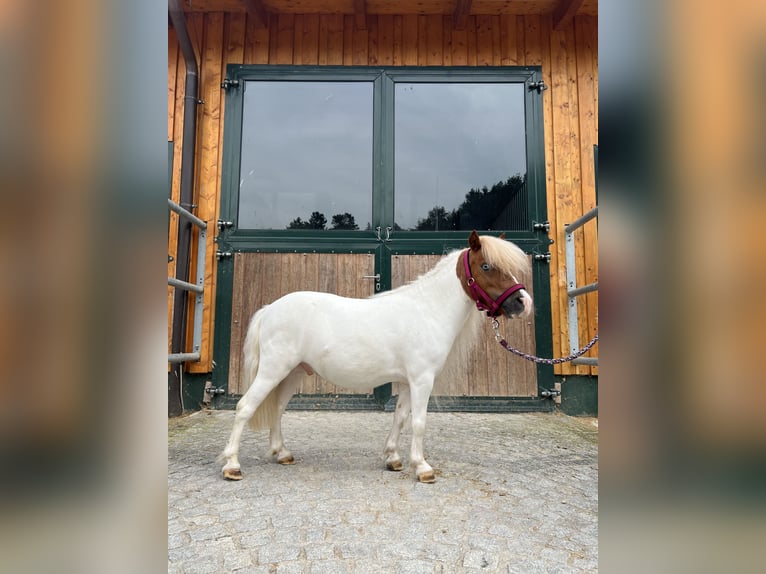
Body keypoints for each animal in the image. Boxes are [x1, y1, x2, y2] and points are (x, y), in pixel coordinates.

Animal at [222, 232, 536, 484]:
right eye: (486, 266)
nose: (523, 303)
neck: (427, 310)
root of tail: (270, 309)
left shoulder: (409, 382)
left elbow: (400, 418)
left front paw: (393, 459)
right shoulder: (422, 380)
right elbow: (419, 422)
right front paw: (422, 468)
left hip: (293, 372)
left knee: (276, 409)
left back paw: (282, 454)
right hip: (273, 370)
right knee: (245, 407)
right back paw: (232, 466)